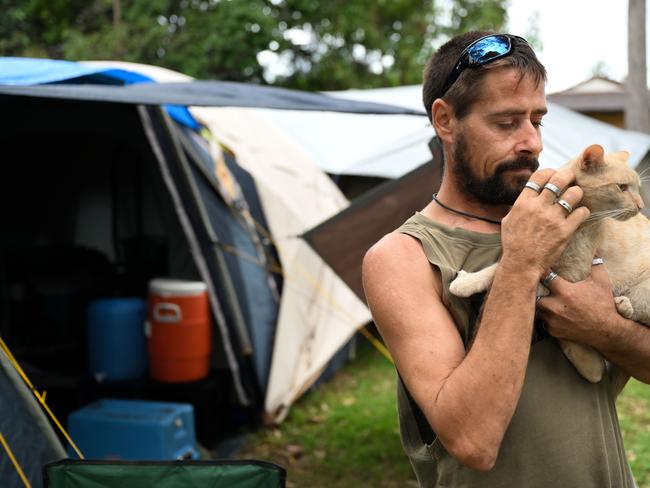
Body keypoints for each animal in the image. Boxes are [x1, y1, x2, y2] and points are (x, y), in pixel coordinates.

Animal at [448, 145, 644, 386]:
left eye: (637, 188)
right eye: (622, 187)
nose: (641, 206)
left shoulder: (574, 271)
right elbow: (501, 267)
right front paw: (468, 281)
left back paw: (621, 308)